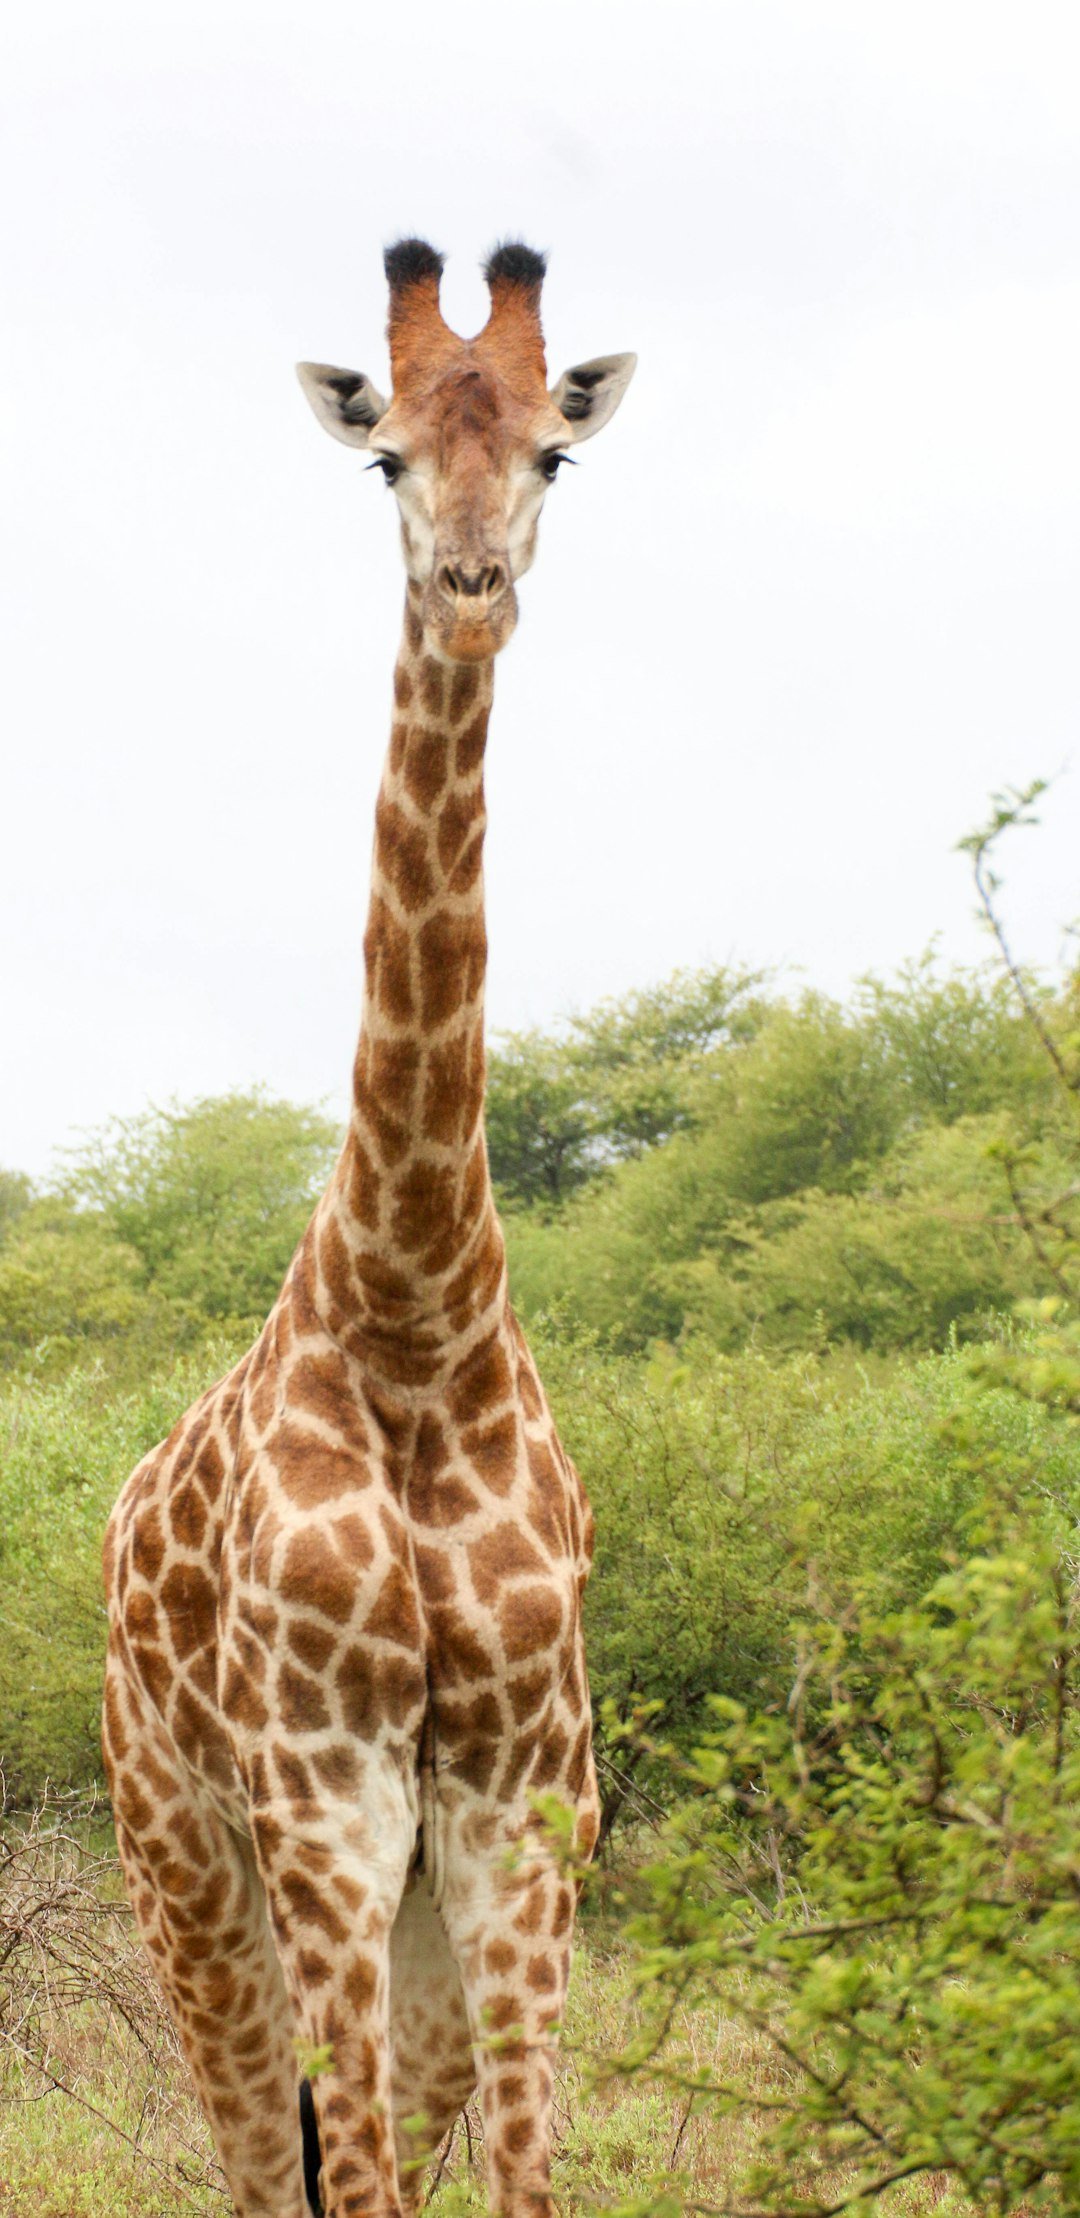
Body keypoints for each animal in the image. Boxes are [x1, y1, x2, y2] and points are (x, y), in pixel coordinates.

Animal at [102, 237, 635, 2218]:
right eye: (385, 458)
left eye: (553, 454)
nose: (474, 596)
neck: (413, 1303)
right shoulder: (325, 1796)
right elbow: (370, 2185)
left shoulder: (517, 1800)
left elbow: (525, 2178)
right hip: (183, 1856)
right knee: (270, 2158)